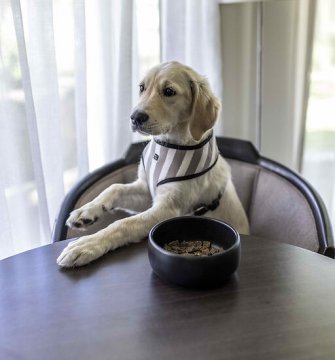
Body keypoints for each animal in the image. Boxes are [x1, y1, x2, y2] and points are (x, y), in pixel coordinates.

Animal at [57, 61, 249, 268]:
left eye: (169, 91)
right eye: (142, 87)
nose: (135, 117)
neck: (169, 146)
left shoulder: (168, 209)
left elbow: (123, 223)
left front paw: (87, 245)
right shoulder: (146, 190)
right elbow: (115, 187)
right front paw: (87, 210)